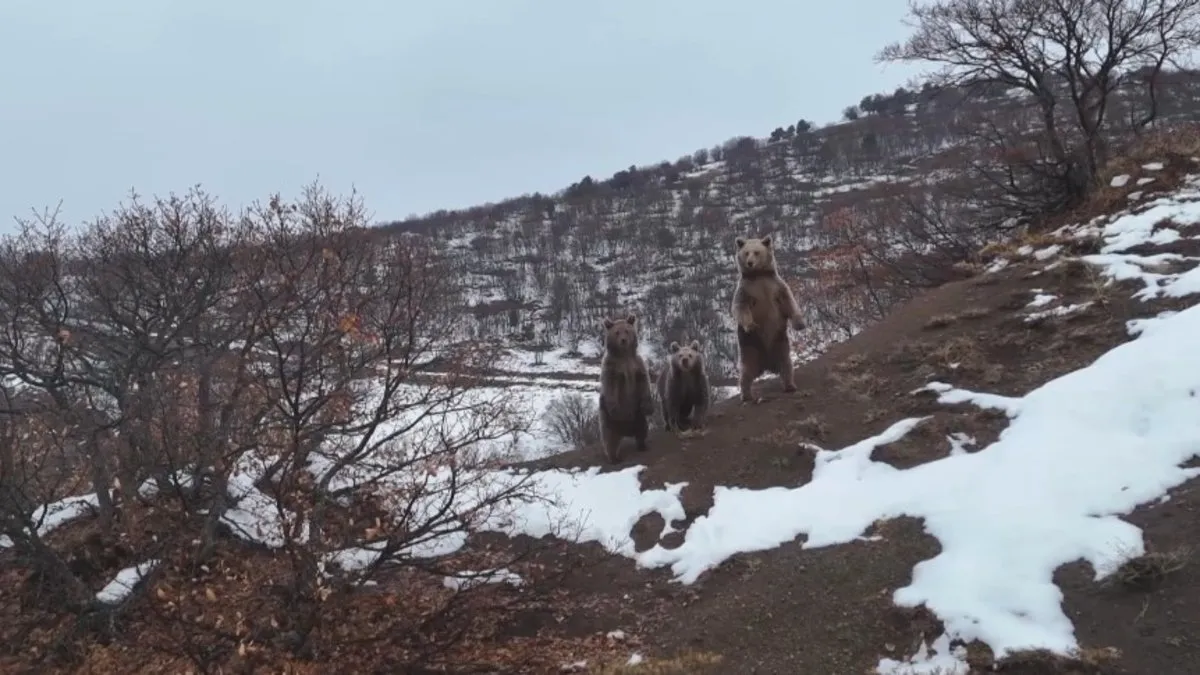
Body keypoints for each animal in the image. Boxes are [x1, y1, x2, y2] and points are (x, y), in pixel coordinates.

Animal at [595, 314, 652, 461]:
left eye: (626, 330)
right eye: (617, 332)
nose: (623, 340)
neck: (624, 355)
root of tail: (625, 432)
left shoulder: (637, 364)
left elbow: (644, 381)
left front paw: (649, 407)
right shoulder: (612, 368)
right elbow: (610, 386)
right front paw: (616, 408)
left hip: (638, 415)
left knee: (642, 430)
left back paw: (642, 445)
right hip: (608, 419)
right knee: (610, 439)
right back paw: (614, 458)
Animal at [729, 234, 806, 401]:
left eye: (757, 252)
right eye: (746, 253)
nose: (750, 263)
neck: (758, 275)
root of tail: (767, 364)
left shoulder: (776, 286)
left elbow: (789, 301)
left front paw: (800, 323)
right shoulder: (746, 290)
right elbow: (740, 307)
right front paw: (751, 325)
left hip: (780, 344)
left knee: (786, 365)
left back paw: (790, 385)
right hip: (750, 349)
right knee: (746, 372)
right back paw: (746, 395)